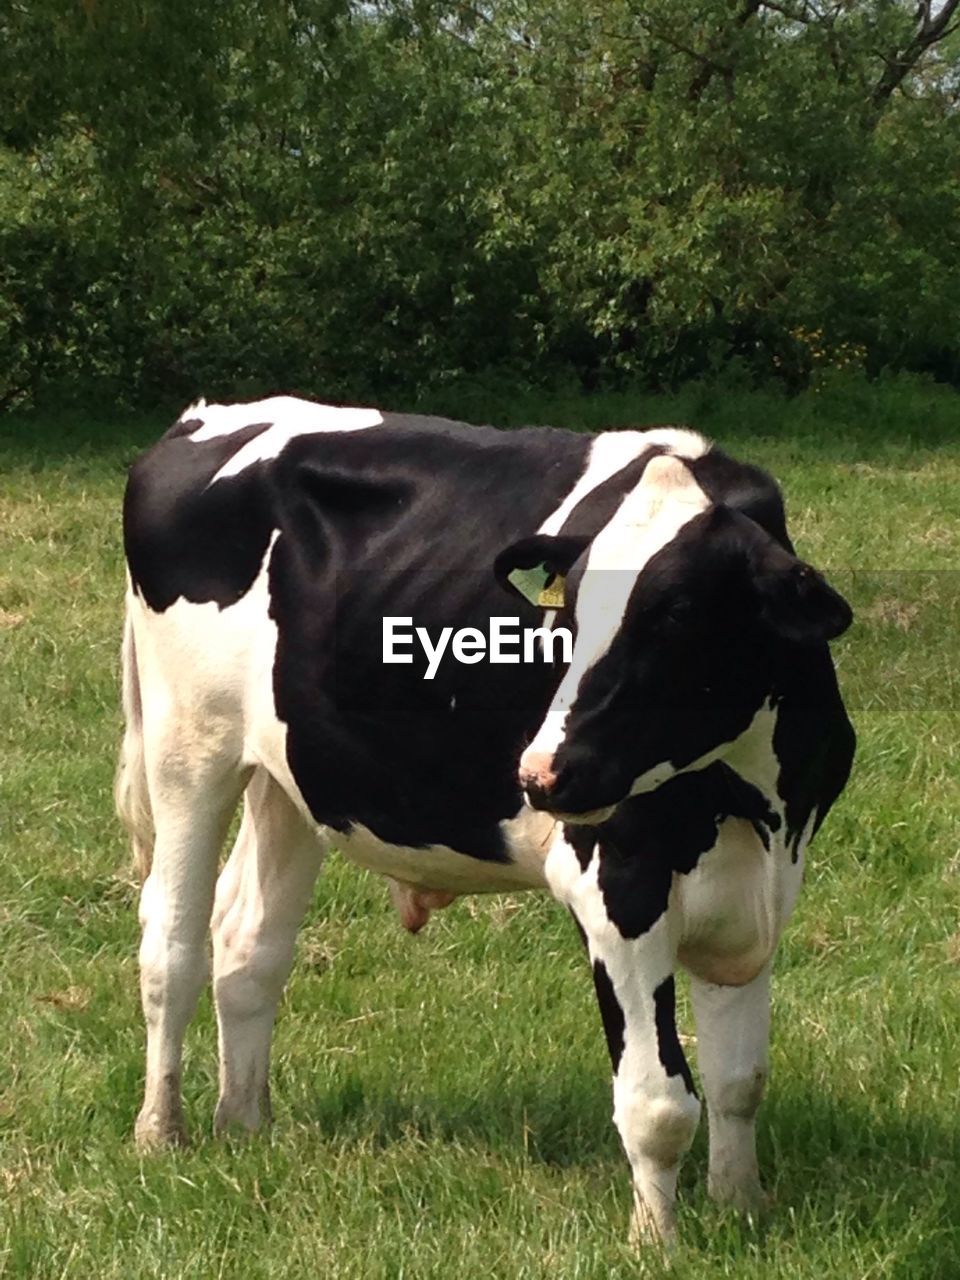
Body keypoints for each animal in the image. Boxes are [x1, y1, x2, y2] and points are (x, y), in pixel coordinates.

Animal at [114, 394, 855, 1244]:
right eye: (568, 614)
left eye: (677, 616)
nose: (541, 773)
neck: (748, 802)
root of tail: (209, 415)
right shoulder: (617, 887)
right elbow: (659, 1102)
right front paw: (657, 1239)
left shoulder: (765, 885)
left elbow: (740, 1079)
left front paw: (740, 1206)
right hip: (187, 746)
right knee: (171, 943)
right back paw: (161, 1132)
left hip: (290, 774)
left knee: (248, 941)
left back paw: (244, 1125)